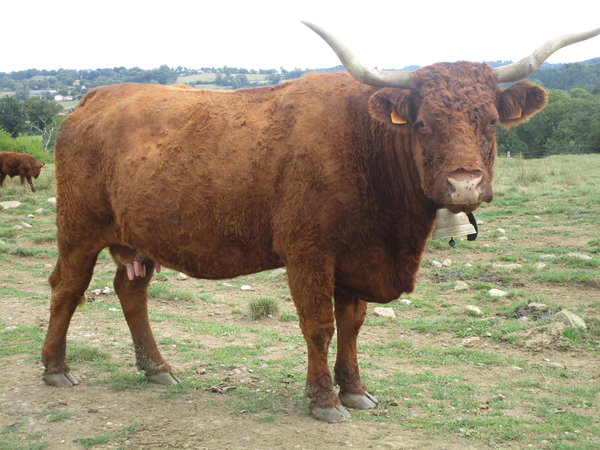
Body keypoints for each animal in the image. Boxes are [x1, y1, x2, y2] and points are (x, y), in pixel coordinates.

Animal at [42, 22, 600, 422]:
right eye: (422, 122)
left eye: (490, 121)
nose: (464, 186)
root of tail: (98, 97)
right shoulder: (309, 253)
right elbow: (319, 325)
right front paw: (323, 400)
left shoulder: (357, 257)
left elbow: (351, 326)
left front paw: (355, 390)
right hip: (78, 229)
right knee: (67, 288)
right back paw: (55, 369)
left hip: (138, 237)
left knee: (130, 291)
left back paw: (157, 368)